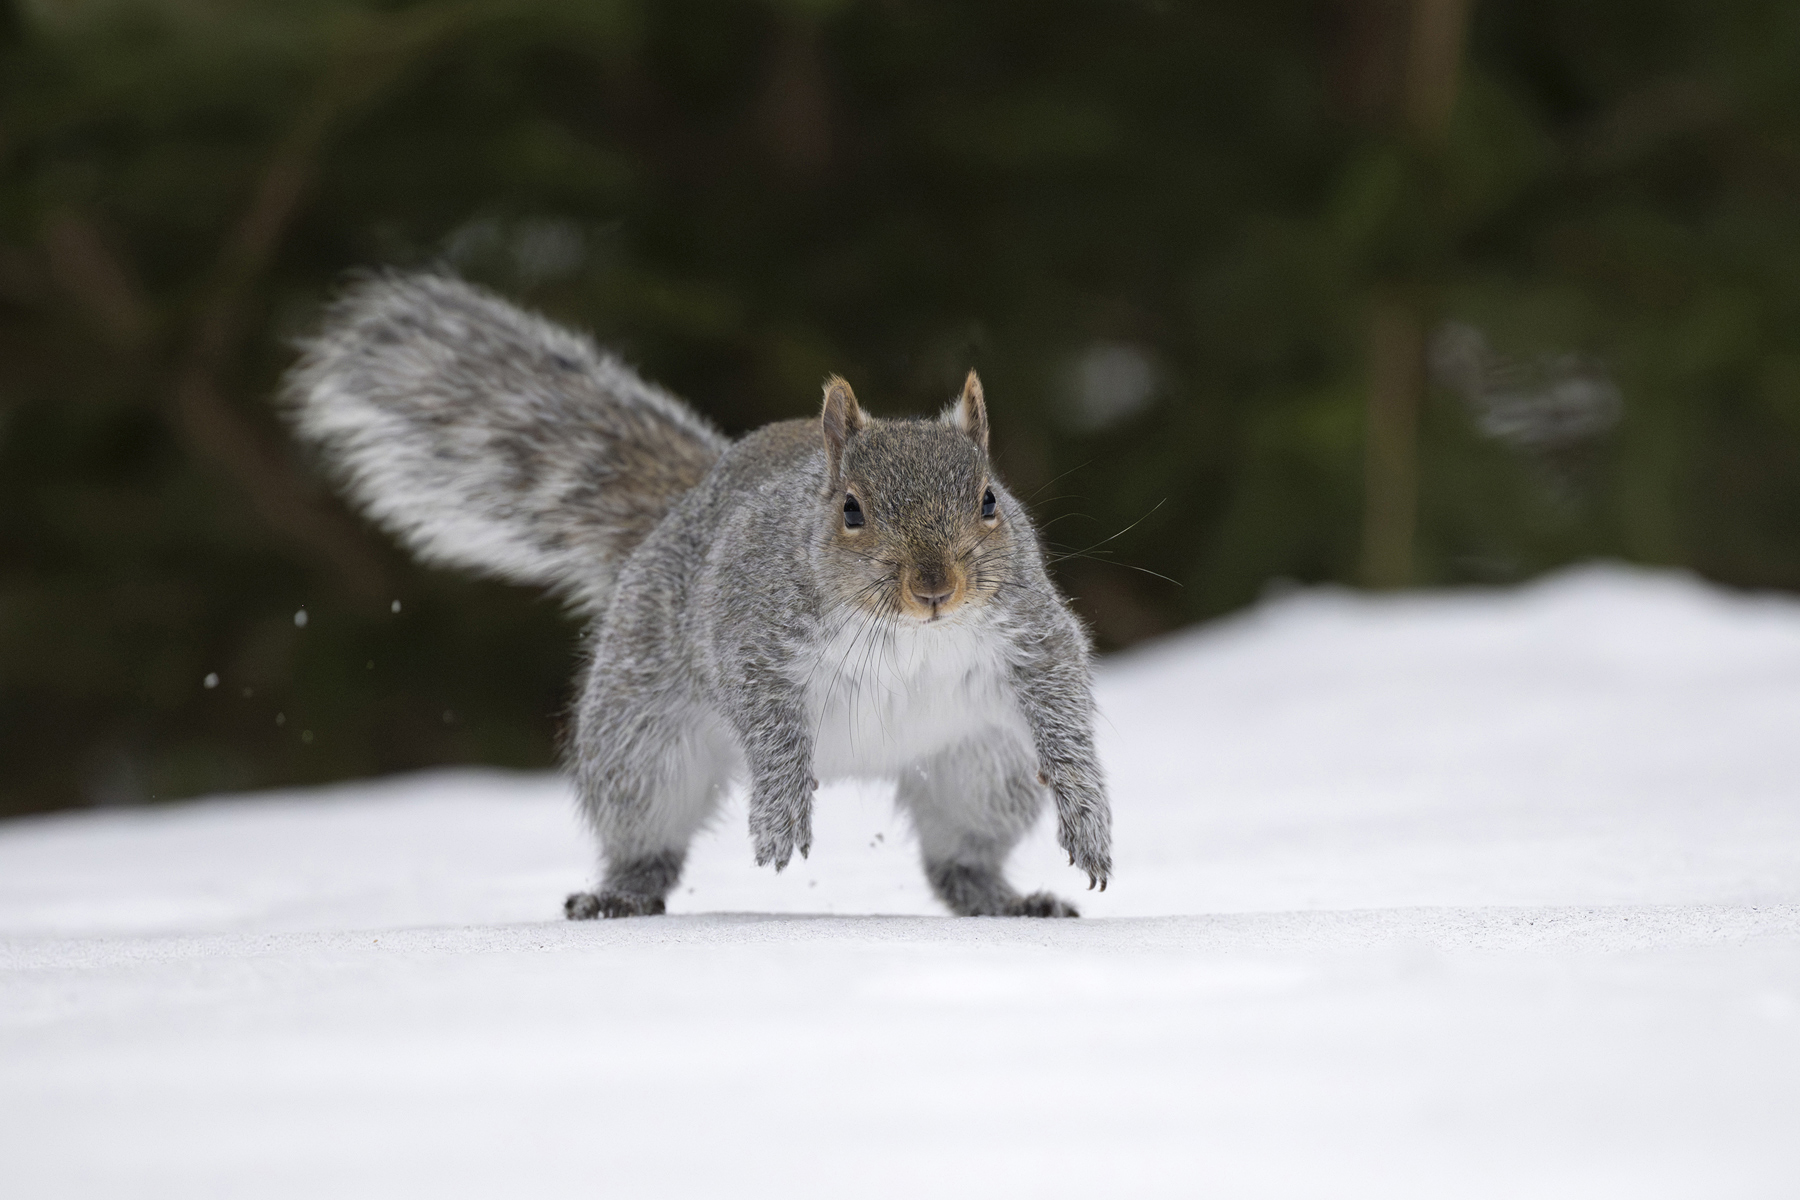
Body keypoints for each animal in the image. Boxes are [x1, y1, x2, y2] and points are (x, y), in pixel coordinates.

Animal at [285, 273, 1111, 918]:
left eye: (990, 500)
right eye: (851, 510)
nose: (934, 587)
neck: (911, 632)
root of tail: (684, 505)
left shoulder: (1033, 636)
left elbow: (1065, 711)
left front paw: (1089, 818)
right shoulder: (751, 632)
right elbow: (767, 721)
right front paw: (779, 810)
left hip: (985, 768)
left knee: (958, 862)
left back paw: (1006, 900)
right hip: (641, 742)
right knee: (647, 835)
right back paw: (620, 893)